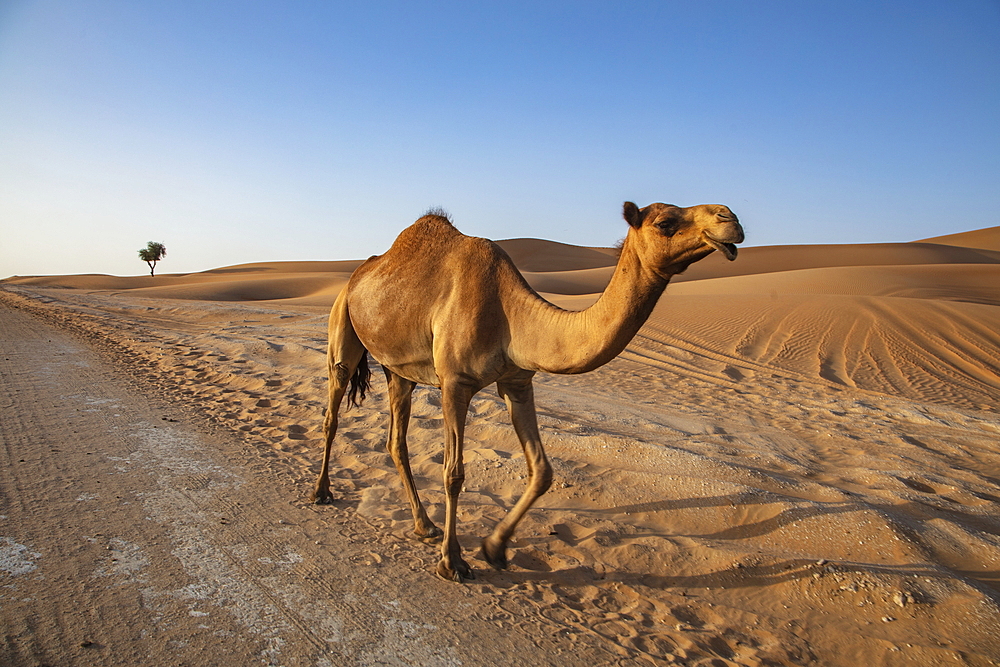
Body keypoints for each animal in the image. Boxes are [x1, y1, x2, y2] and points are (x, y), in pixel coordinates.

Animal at [312, 201, 744, 580]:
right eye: (666, 223)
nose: (730, 218)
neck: (510, 314)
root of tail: (357, 274)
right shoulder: (455, 383)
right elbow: (454, 473)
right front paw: (453, 562)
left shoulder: (518, 383)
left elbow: (542, 471)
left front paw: (494, 548)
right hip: (343, 327)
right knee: (332, 412)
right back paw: (322, 491)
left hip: (398, 370)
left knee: (396, 441)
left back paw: (424, 525)